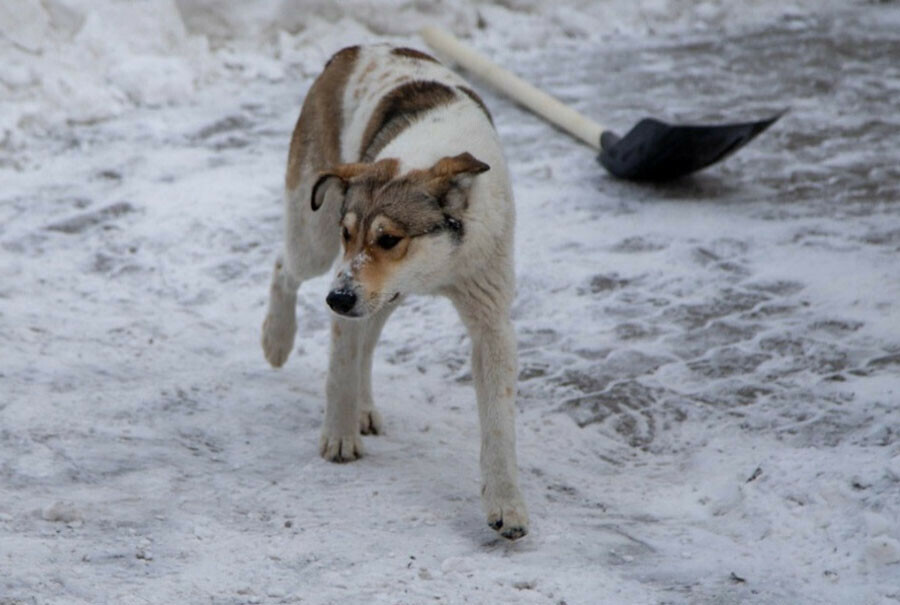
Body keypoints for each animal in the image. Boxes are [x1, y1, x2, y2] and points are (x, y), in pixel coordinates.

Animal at [260, 44, 528, 540]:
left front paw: (507, 505)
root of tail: (350, 50)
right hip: (313, 237)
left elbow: (499, 425)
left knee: (366, 337)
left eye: (389, 239)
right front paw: (338, 437)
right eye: (350, 233)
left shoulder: (491, 321)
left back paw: (363, 405)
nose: (336, 300)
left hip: (379, 294)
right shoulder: (346, 274)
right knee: (284, 266)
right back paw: (276, 340)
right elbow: (339, 370)